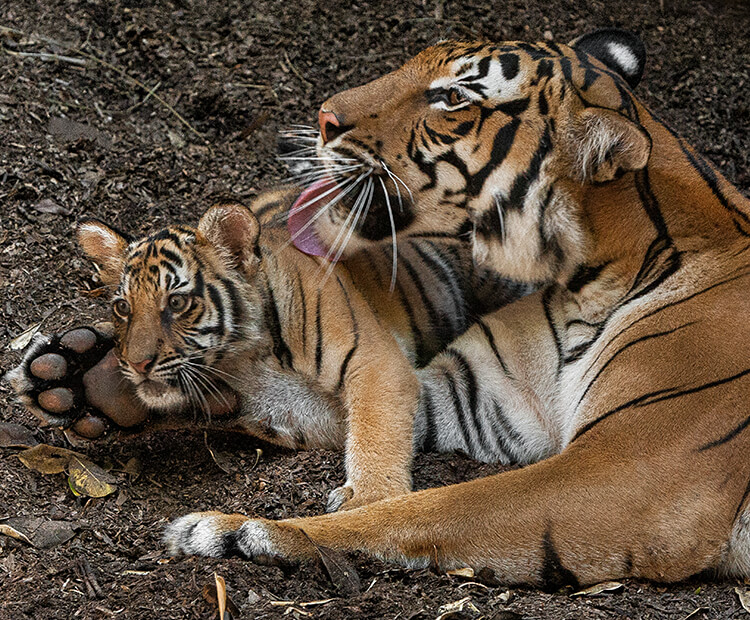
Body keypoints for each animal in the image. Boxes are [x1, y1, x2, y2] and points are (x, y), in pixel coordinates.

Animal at [5, 191, 524, 512]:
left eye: (177, 302)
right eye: (121, 307)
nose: (134, 363)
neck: (249, 353)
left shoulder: (376, 364)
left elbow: (377, 429)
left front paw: (369, 500)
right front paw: (87, 383)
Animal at [160, 31, 750, 588]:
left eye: (453, 97)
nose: (323, 118)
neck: (584, 282)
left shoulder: (631, 469)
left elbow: (428, 508)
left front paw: (251, 530)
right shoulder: (470, 395)